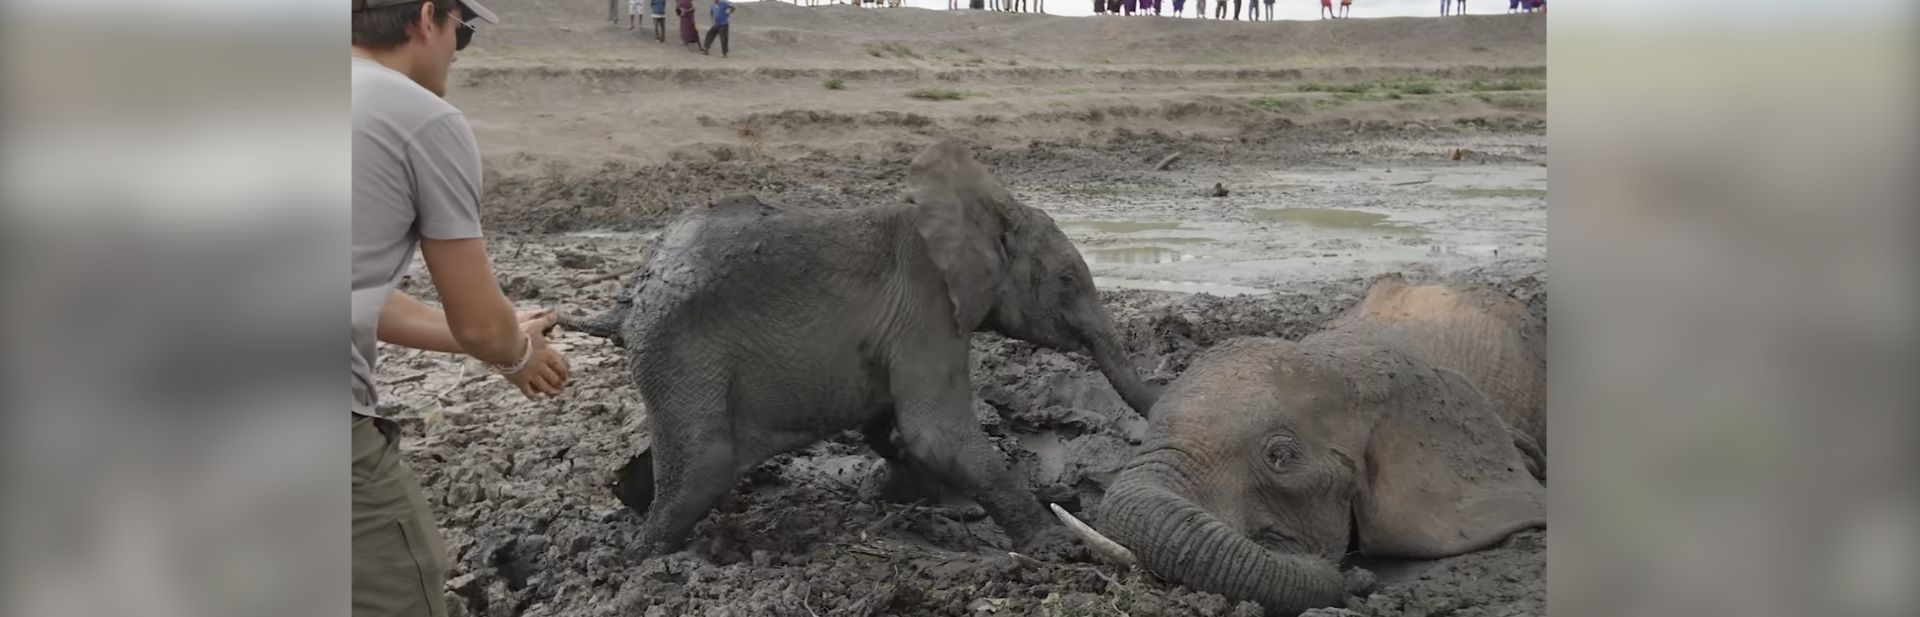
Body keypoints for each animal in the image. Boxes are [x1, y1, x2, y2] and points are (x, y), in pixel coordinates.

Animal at [561, 140, 1160, 558]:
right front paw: (1059, 548)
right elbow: (935, 432)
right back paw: (648, 557)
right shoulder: (927, 308)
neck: (982, 210)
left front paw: (914, 494)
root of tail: (627, 298)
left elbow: (891, 426)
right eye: (1066, 281)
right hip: (682, 351)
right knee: (701, 469)